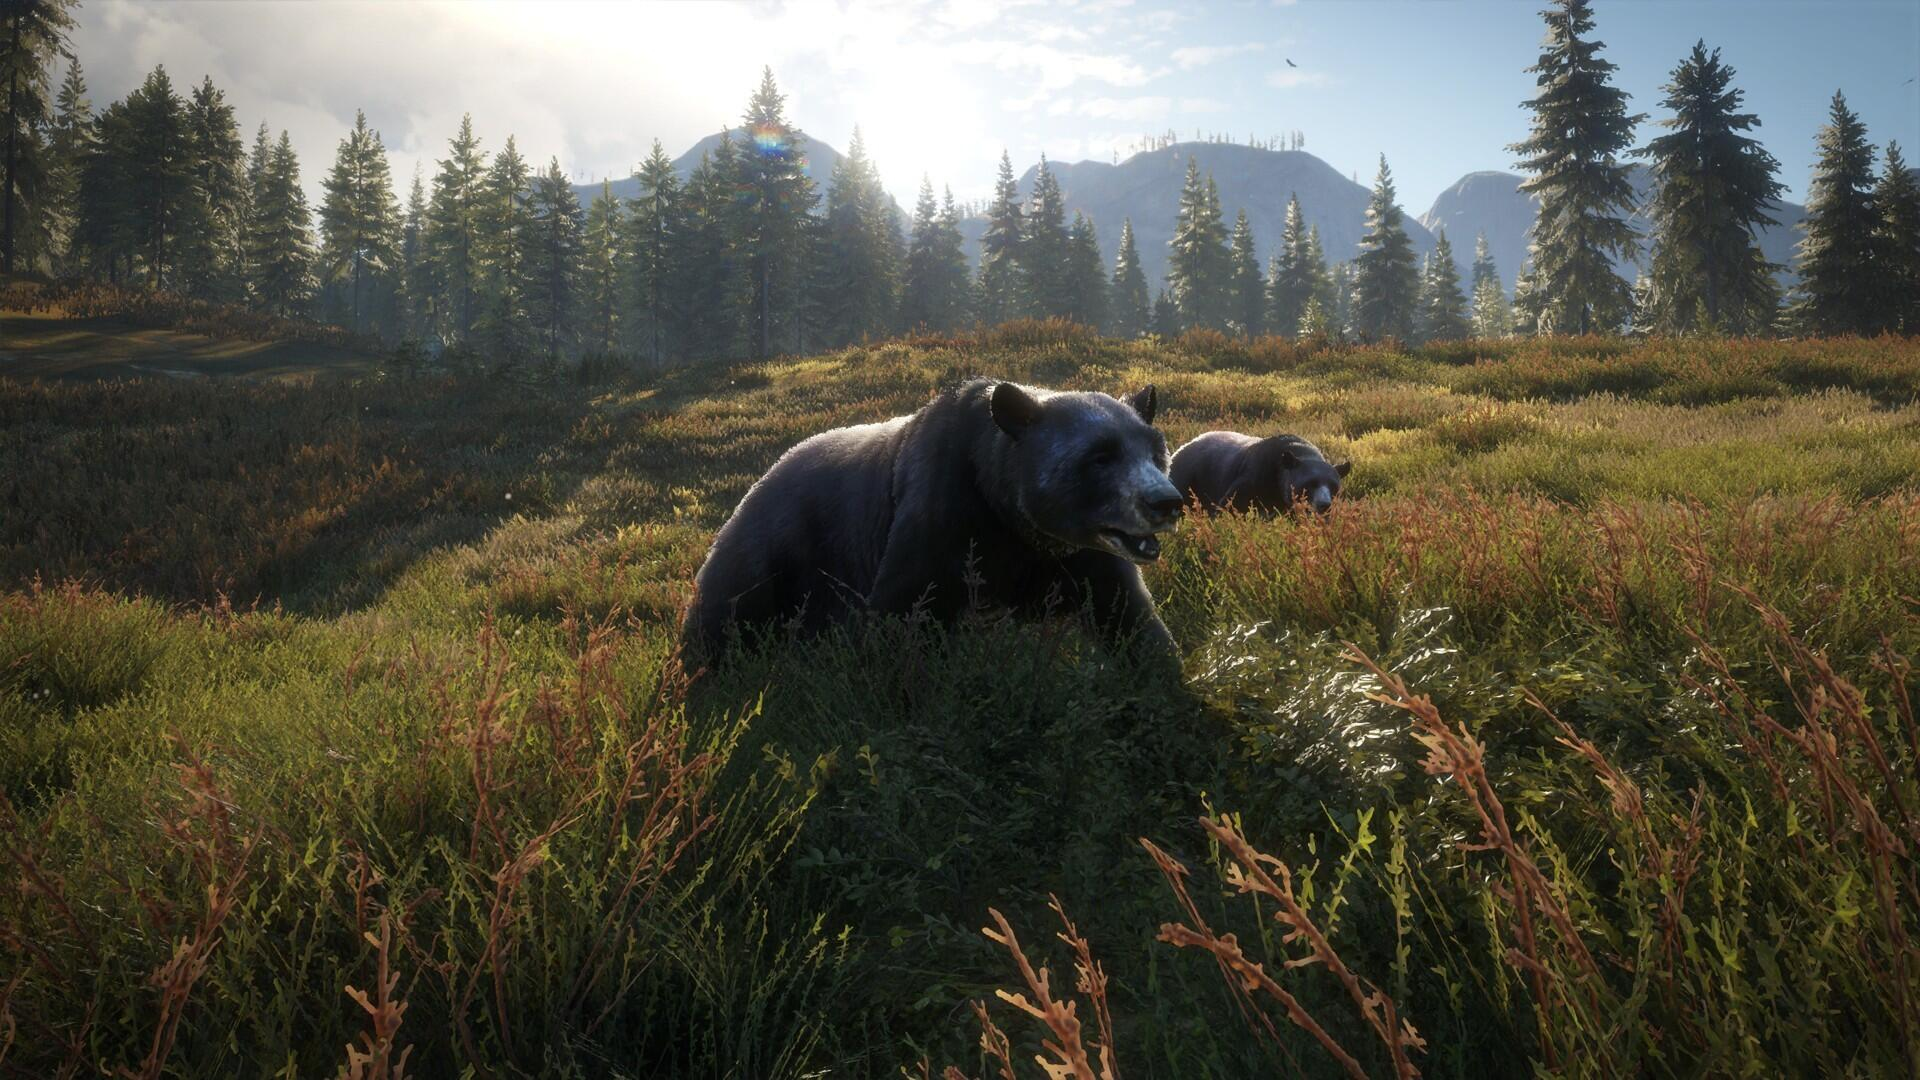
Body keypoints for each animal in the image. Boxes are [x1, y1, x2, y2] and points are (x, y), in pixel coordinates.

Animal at [680, 377, 1187, 670]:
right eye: (1100, 456)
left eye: (1153, 449)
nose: (1166, 501)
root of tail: (760, 477)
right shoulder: (939, 513)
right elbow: (901, 612)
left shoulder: (1083, 556)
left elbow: (1130, 617)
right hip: (775, 551)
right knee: (727, 611)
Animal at [1168, 431, 1350, 515]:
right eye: (1310, 483)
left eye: (1334, 487)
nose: (1324, 505)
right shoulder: (1254, 474)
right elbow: (1229, 504)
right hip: (1190, 476)